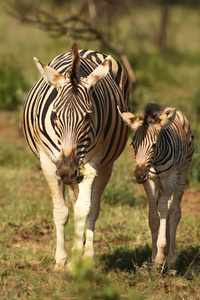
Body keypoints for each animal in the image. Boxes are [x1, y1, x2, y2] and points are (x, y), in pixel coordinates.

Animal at [21, 44, 130, 272]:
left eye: (88, 116)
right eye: (54, 115)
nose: (66, 170)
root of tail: (88, 49)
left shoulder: (92, 163)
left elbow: (83, 210)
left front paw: (77, 261)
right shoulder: (48, 163)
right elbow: (61, 212)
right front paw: (61, 259)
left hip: (106, 165)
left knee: (93, 208)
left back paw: (86, 254)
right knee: (72, 199)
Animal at [119, 103, 194, 270]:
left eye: (154, 145)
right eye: (132, 145)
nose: (139, 174)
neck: (156, 160)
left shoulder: (172, 176)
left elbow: (165, 209)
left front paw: (160, 258)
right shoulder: (151, 179)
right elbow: (154, 217)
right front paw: (155, 260)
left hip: (183, 171)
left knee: (175, 210)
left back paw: (171, 262)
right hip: (161, 183)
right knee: (167, 205)